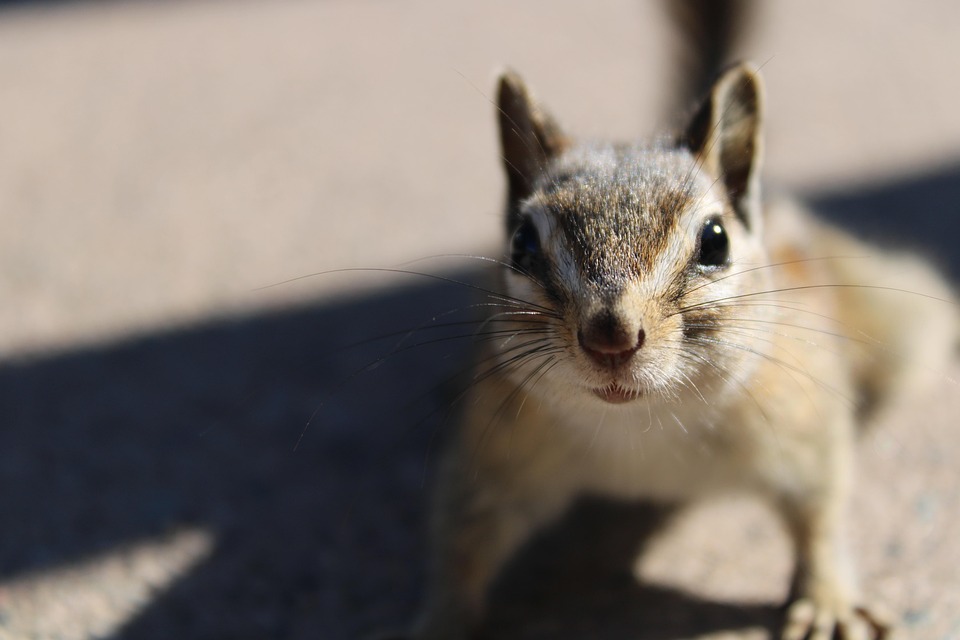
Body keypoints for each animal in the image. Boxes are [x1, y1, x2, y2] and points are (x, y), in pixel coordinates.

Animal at [397, 62, 959, 640]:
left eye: (716, 240)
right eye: (521, 243)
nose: (611, 337)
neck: (644, 424)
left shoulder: (804, 422)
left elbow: (819, 513)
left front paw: (829, 598)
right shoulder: (496, 451)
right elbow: (463, 537)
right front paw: (442, 619)